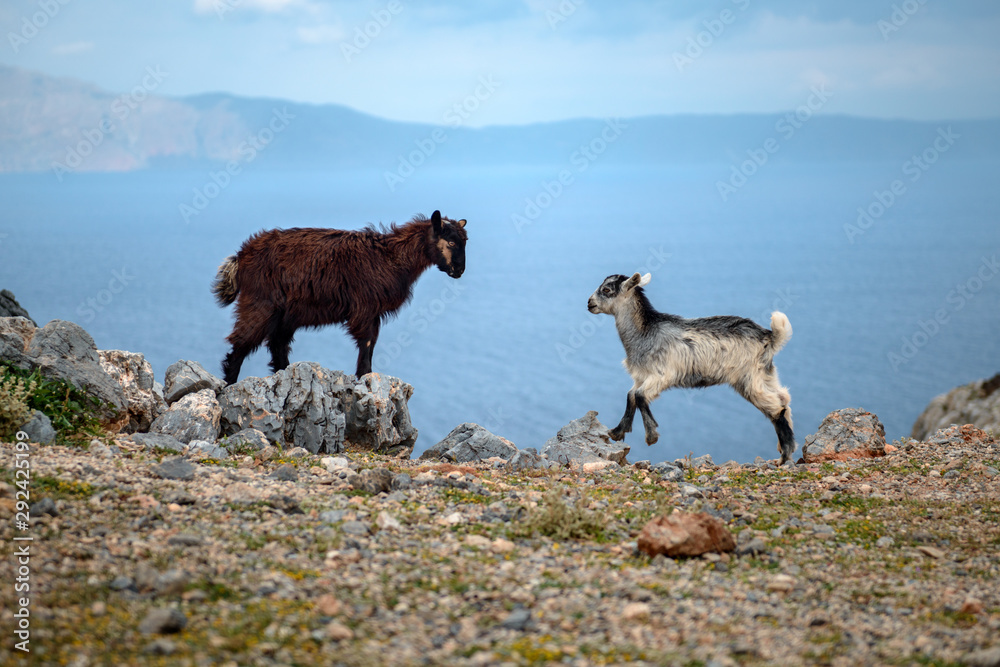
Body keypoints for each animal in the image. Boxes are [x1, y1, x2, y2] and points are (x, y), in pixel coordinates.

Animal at [213, 210, 467, 384]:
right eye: (451, 242)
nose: (459, 271)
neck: (392, 258)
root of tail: (241, 256)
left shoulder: (372, 312)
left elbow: (371, 343)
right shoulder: (366, 309)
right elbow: (367, 343)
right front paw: (364, 376)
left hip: (287, 314)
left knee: (277, 345)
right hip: (260, 304)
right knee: (241, 343)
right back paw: (229, 385)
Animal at [587, 272, 796, 464]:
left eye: (607, 290)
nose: (589, 303)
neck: (645, 332)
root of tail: (769, 336)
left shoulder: (661, 376)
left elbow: (638, 396)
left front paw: (651, 436)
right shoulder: (641, 376)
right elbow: (630, 395)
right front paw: (616, 432)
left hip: (749, 379)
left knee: (776, 408)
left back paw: (784, 456)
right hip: (765, 374)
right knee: (784, 399)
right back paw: (787, 449)